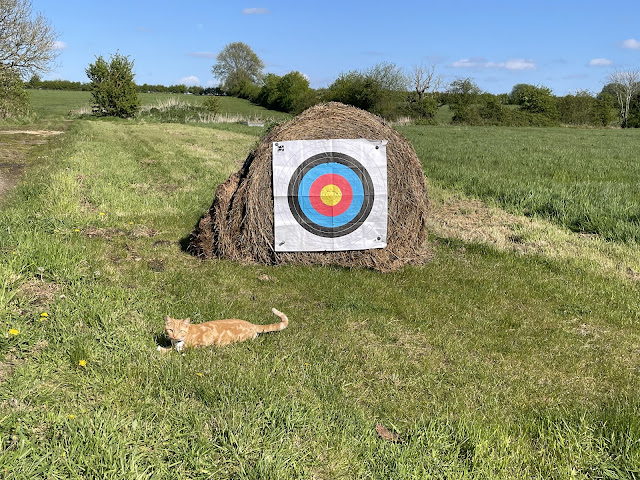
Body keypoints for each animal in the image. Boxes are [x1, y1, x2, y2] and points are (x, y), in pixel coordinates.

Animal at [158, 308, 288, 352]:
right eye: (171, 330)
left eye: (180, 331)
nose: (174, 336)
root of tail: (251, 324)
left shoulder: (201, 343)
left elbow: (176, 350)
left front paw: (164, 350)